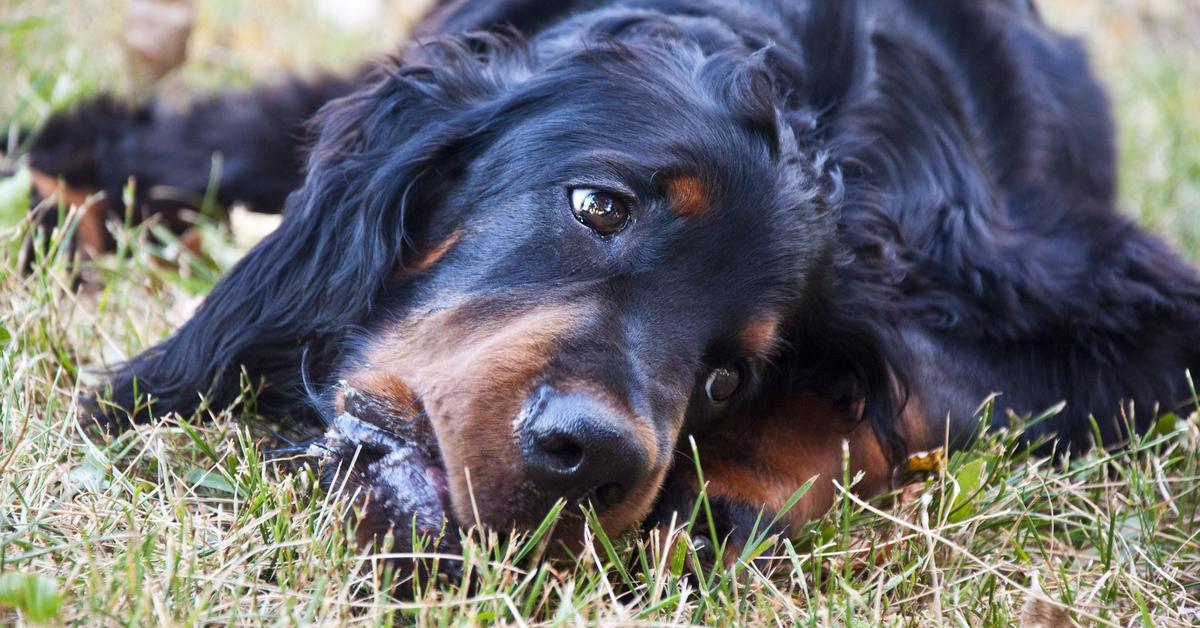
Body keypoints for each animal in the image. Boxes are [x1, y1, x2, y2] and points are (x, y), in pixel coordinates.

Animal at [23, 0, 1200, 578]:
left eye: (731, 376)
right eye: (597, 205)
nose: (593, 459)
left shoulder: (1114, 306)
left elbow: (907, 382)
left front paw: (736, 493)